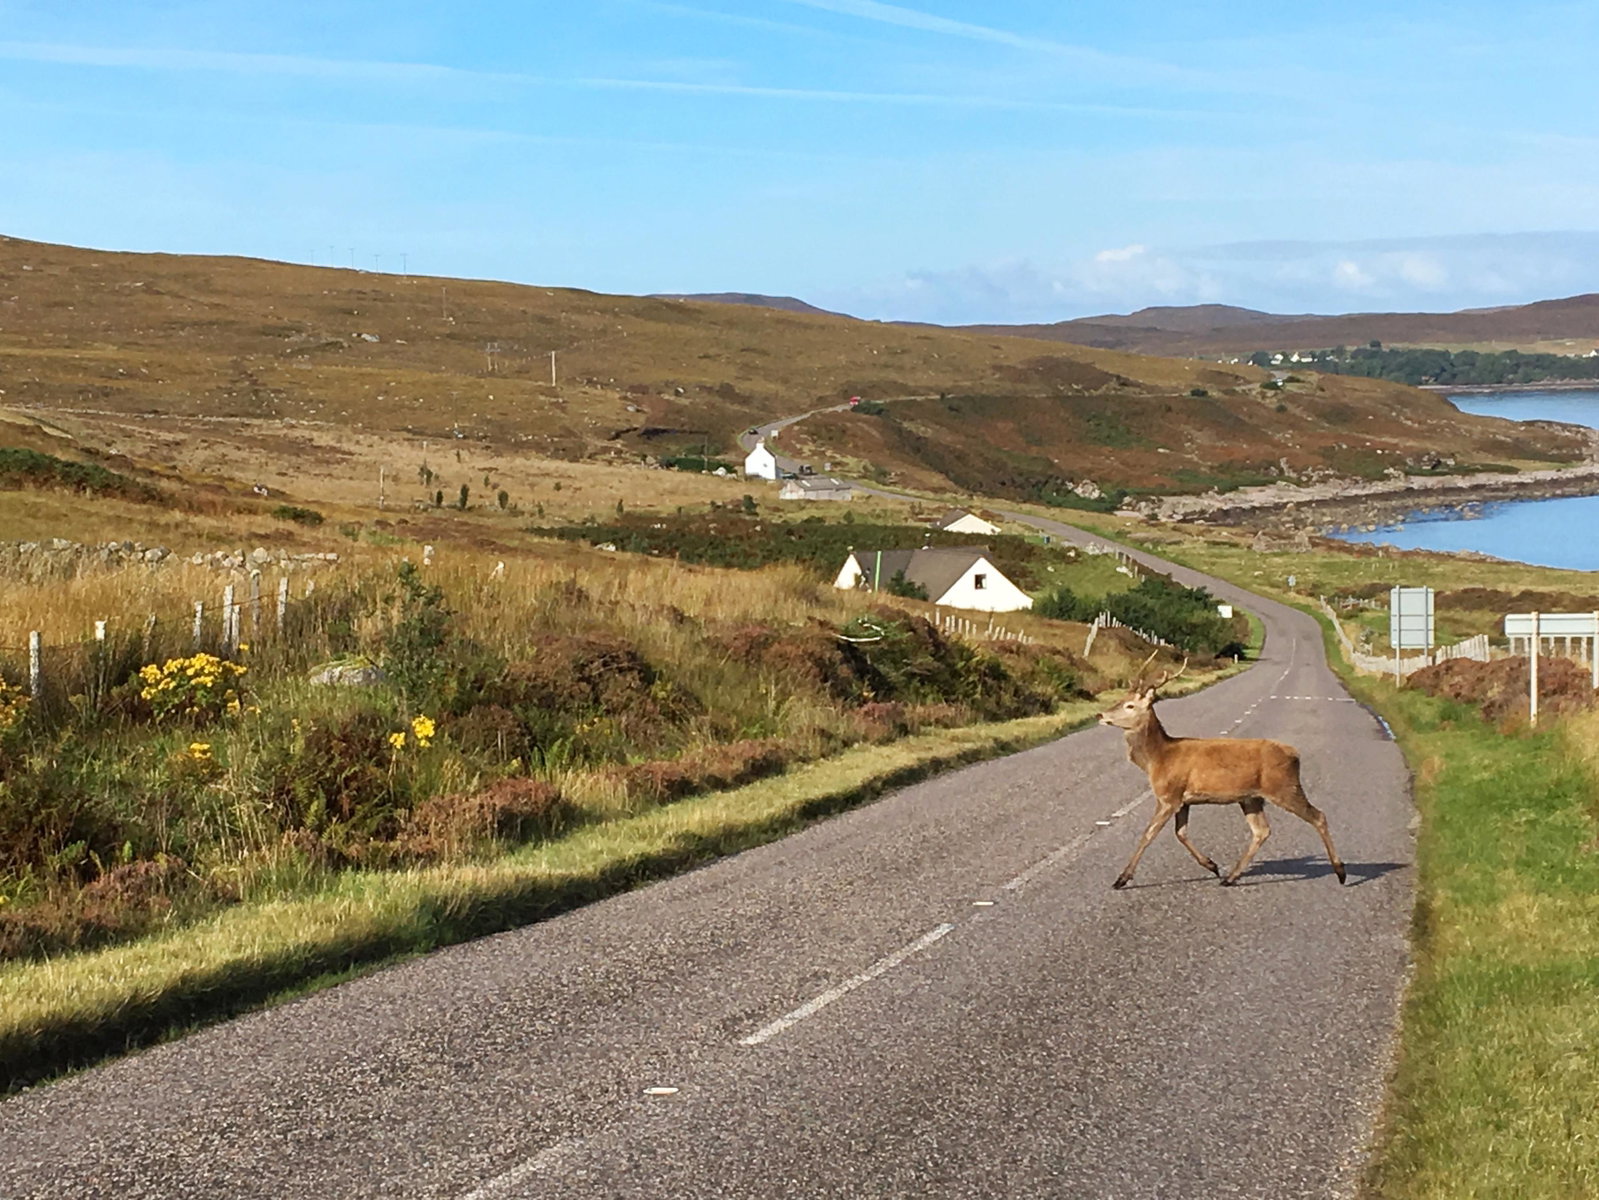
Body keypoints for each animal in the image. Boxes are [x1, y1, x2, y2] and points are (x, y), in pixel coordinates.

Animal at [1097, 665, 1346, 889]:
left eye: (1130, 705)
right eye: (1121, 697)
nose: (1100, 714)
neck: (1157, 758)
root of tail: (1295, 755)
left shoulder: (1169, 795)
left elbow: (1148, 834)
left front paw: (1121, 879)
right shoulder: (1184, 800)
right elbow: (1180, 833)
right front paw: (1212, 866)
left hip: (1284, 787)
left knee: (1318, 816)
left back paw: (1341, 872)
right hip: (1252, 798)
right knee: (1261, 831)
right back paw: (1230, 877)